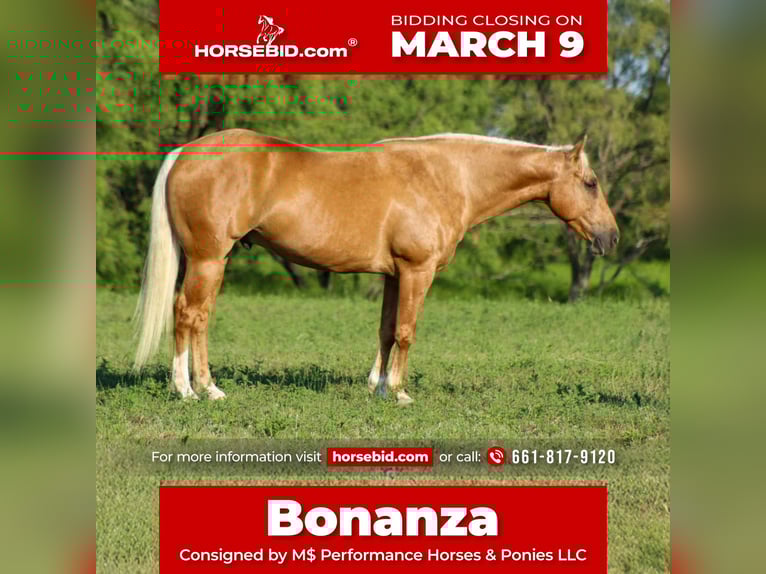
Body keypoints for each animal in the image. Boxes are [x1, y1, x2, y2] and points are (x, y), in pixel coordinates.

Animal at [133, 129, 619, 405]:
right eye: (591, 184)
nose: (610, 238)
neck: (447, 176)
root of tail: (187, 152)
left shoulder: (393, 275)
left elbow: (386, 330)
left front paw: (379, 386)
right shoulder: (417, 271)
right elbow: (406, 332)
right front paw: (400, 393)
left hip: (213, 260)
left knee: (199, 318)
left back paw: (205, 386)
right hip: (208, 259)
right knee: (189, 315)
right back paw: (190, 391)